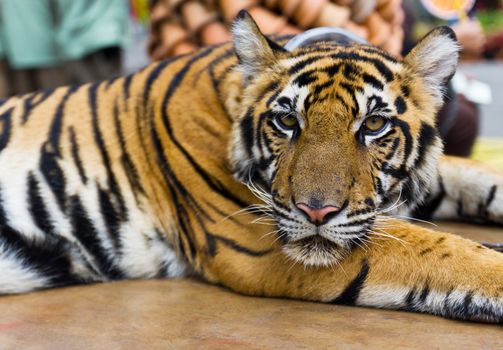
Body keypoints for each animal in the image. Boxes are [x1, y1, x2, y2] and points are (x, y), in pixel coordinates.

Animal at [0, 10, 503, 322]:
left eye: (374, 124)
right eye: (287, 121)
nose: (316, 212)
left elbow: (477, 177)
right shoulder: (258, 241)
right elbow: (441, 250)